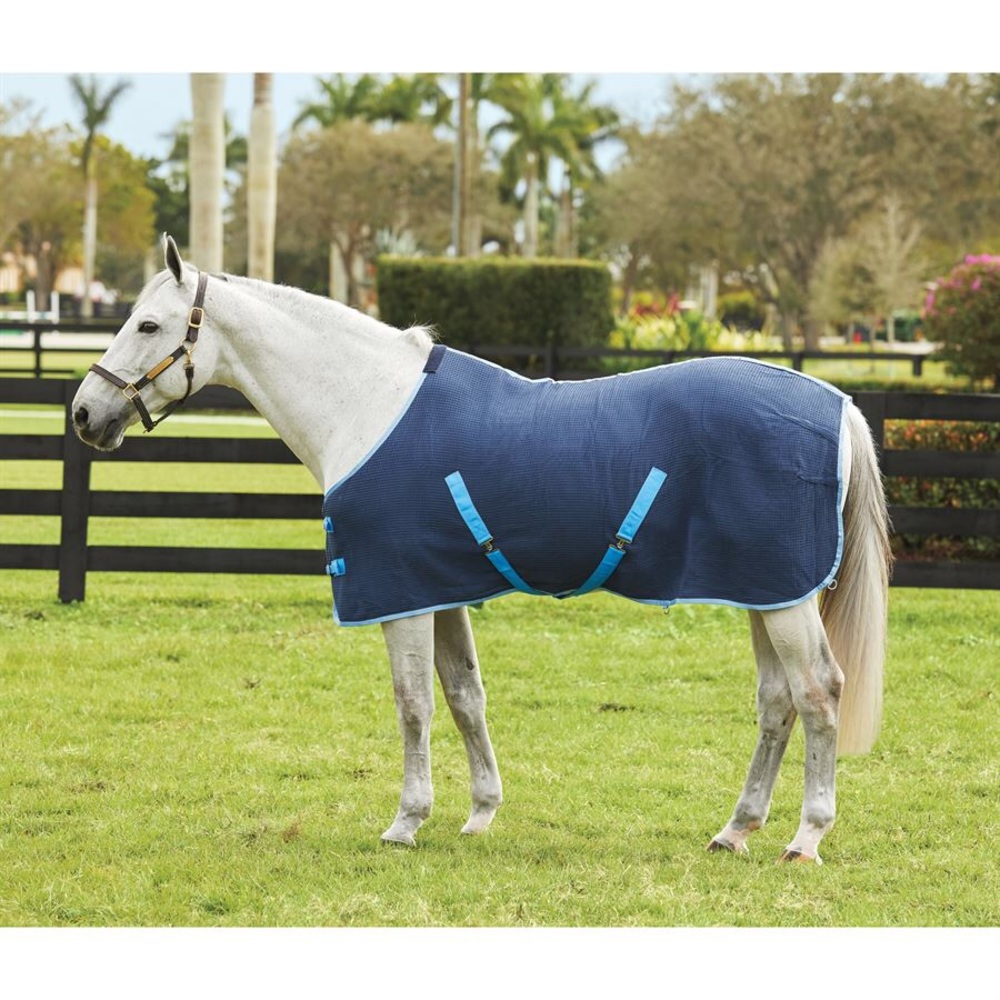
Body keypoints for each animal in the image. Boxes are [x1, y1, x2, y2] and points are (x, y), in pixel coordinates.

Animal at [72, 237, 891, 863]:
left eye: (148, 325)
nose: (84, 413)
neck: (367, 402)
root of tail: (838, 404)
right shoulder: (439, 590)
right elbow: (465, 697)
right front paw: (479, 813)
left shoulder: (399, 594)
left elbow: (413, 704)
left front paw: (405, 822)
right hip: (762, 589)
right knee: (778, 702)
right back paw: (735, 830)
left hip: (783, 600)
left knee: (818, 694)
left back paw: (805, 838)